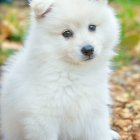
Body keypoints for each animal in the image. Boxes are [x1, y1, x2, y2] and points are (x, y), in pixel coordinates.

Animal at [1, 0, 120, 140]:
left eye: (92, 27)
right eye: (67, 33)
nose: (88, 49)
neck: (73, 71)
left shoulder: (95, 112)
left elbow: (100, 134)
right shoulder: (43, 120)